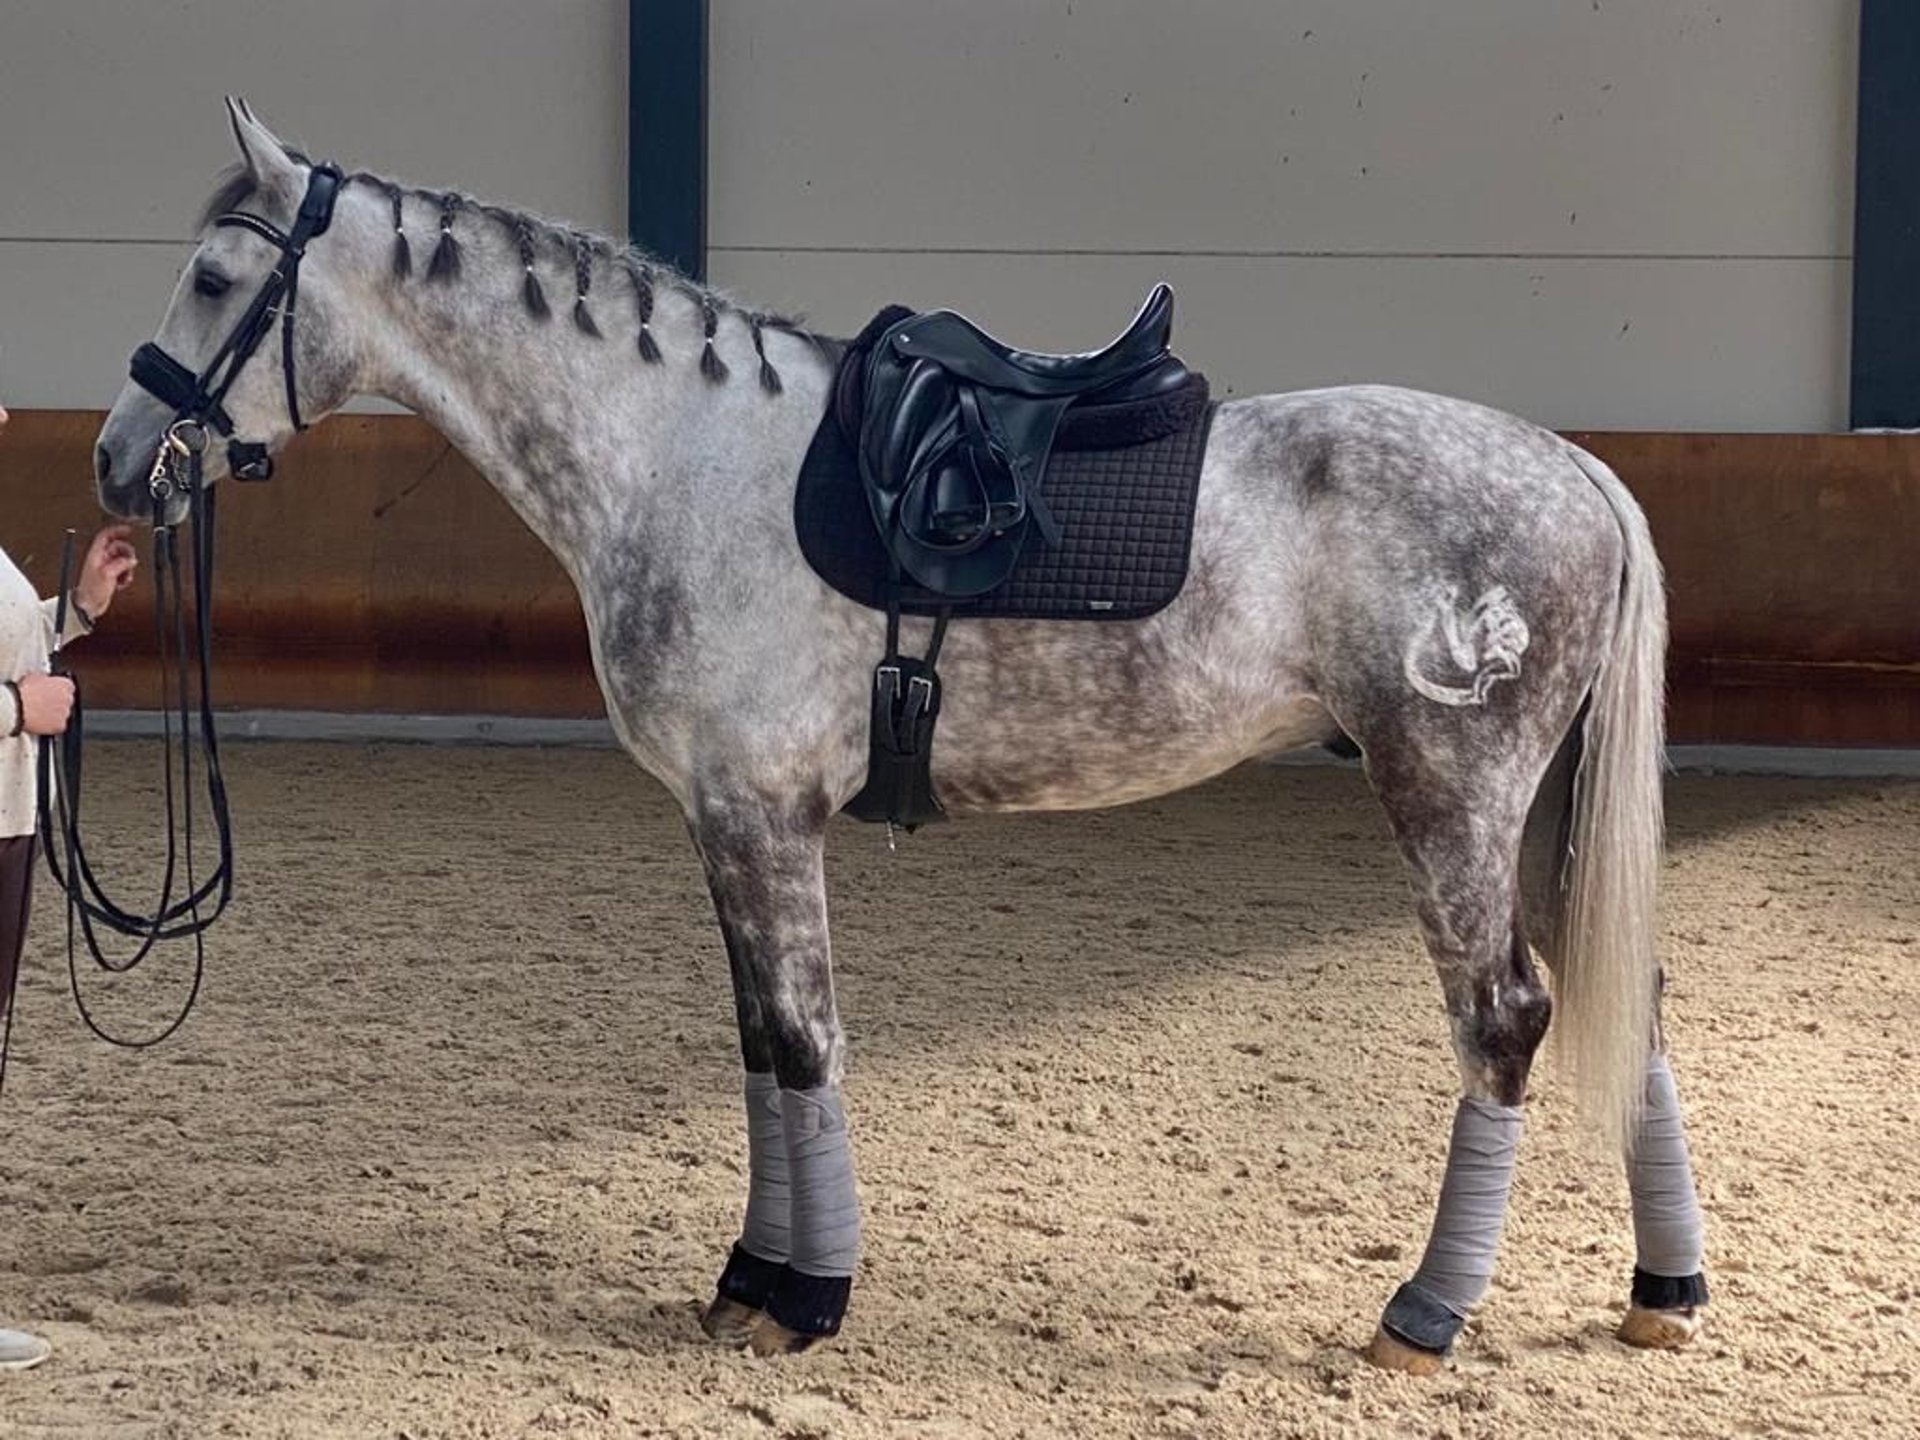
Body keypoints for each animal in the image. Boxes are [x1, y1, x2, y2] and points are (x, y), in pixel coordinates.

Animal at [93, 104, 1712, 1374]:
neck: (680, 456)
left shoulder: (761, 814)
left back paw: (1424, 1316)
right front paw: (753, 1283)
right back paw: (1664, 1292)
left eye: (217, 275)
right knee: (1628, 1001)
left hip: (1449, 798)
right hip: (1539, 816)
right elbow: (761, 1046)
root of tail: (1572, 471)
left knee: (1505, 1021)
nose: (119, 463)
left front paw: (810, 1297)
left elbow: (806, 1040)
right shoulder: (720, 817)